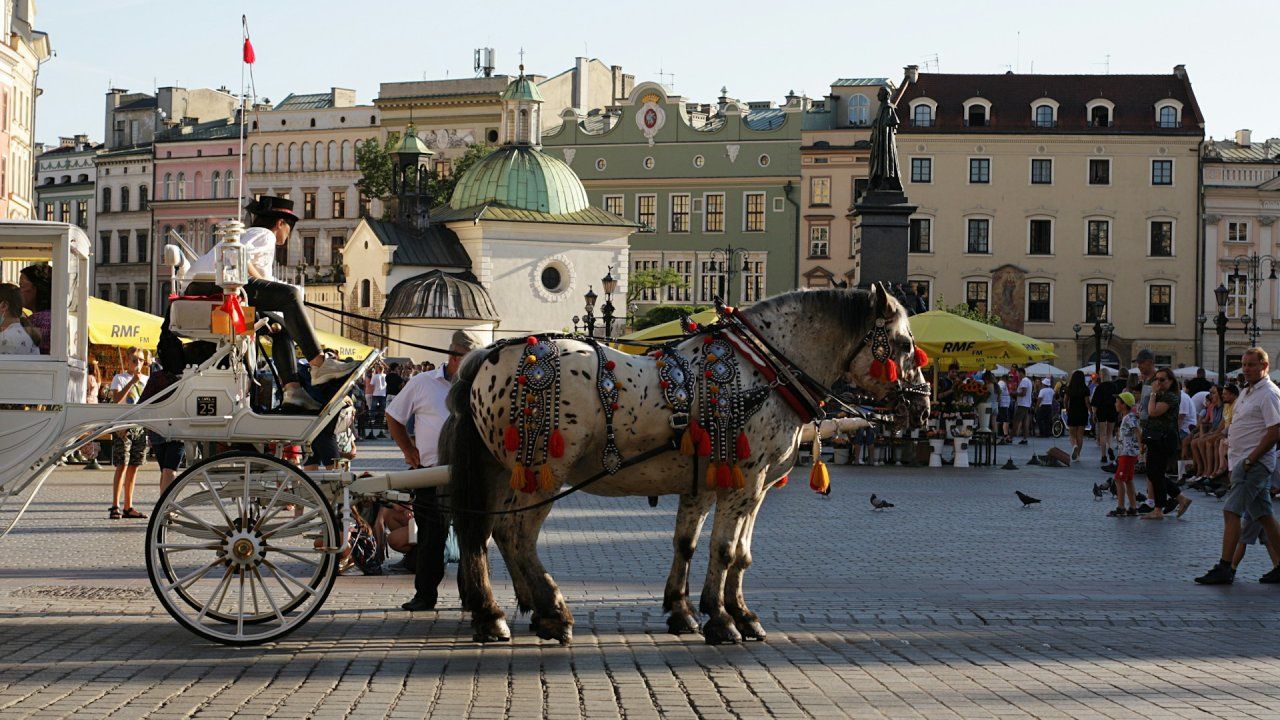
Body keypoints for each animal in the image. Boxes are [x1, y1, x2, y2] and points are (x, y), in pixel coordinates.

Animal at [445, 283, 926, 640]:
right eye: (904, 344)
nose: (921, 405)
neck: (763, 372)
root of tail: (487, 356)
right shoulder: (747, 482)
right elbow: (727, 549)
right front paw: (725, 619)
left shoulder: (711, 484)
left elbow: (698, 545)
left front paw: (693, 611)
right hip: (542, 473)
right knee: (515, 534)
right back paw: (551, 612)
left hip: (501, 470)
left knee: (482, 534)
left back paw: (495, 614)